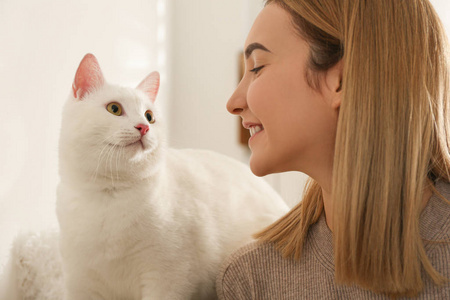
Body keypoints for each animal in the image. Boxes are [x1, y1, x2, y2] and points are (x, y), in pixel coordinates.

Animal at [57, 54, 288, 300]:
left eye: (149, 116)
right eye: (114, 108)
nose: (143, 127)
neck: (109, 196)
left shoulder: (166, 278)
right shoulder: (81, 283)